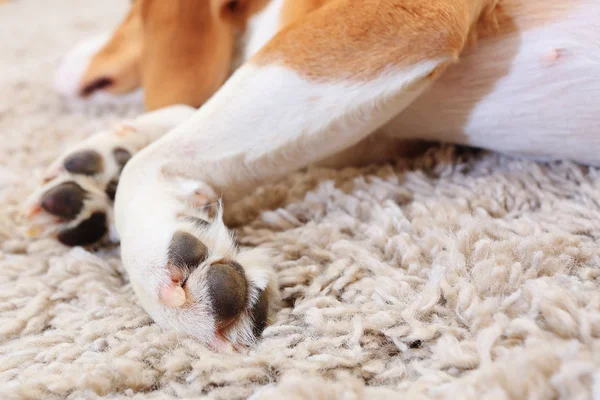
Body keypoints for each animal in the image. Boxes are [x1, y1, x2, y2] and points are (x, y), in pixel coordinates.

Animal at [21, 0, 596, 348]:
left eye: (128, 14)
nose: (56, 69)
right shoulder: (378, 131)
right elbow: (186, 117)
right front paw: (100, 163)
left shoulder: (393, 22)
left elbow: (160, 154)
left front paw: (168, 262)